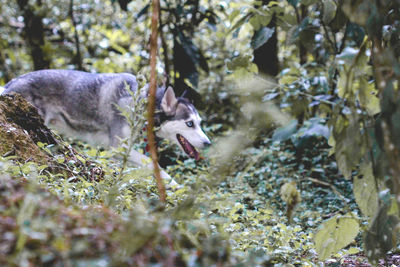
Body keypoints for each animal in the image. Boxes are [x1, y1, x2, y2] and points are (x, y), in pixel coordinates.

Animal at [2, 69, 212, 184]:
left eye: (200, 123)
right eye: (189, 123)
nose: (208, 143)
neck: (142, 105)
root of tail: (9, 83)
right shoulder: (118, 148)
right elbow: (154, 165)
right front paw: (174, 184)